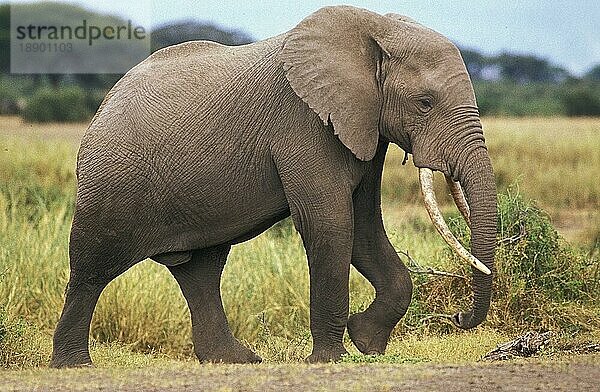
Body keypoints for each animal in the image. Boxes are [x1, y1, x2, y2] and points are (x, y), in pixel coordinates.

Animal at [49, 5, 494, 368]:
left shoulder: (364, 126)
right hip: (108, 184)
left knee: (201, 270)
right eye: (425, 103)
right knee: (91, 269)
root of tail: (103, 104)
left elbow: (365, 228)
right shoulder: (302, 124)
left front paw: (367, 343)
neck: (377, 28)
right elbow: (330, 225)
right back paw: (74, 365)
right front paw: (330, 360)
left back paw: (235, 360)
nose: (459, 318)